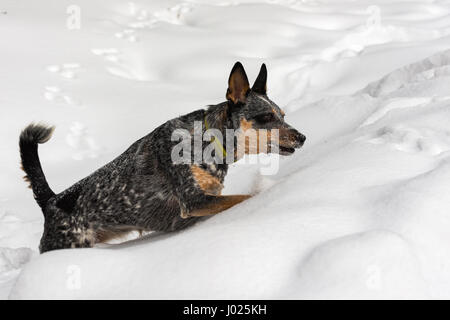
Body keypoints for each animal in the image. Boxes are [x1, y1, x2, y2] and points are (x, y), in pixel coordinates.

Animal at [19, 62, 304, 252]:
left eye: (283, 115)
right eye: (265, 117)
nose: (302, 137)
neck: (208, 141)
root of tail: (51, 200)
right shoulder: (194, 201)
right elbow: (245, 198)